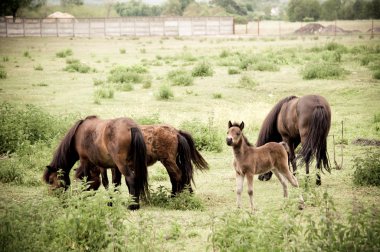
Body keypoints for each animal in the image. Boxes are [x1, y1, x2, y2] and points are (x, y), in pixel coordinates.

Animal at [75, 124, 209, 195]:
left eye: (81, 178)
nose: (78, 195)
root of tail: (176, 132)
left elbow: (109, 182)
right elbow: (117, 182)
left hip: (168, 161)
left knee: (178, 175)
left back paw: (175, 196)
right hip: (173, 161)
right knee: (181, 175)